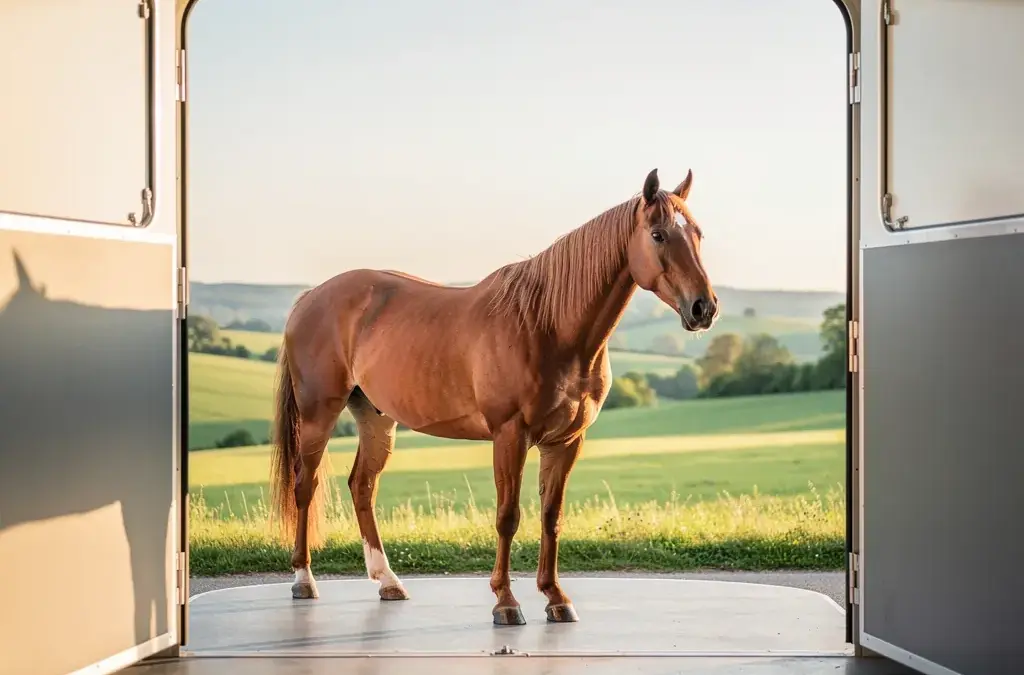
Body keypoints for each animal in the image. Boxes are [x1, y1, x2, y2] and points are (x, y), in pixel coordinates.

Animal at [269, 167, 719, 625]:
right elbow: (508, 516)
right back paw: (304, 580)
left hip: (376, 417)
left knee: (362, 486)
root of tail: (310, 297)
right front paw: (506, 601)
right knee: (305, 485)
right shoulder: (509, 435)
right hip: (318, 414)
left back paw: (388, 582)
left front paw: (555, 597)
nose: (704, 308)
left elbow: (551, 517)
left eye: (697, 234)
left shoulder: (565, 441)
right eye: (658, 234)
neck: (547, 325)